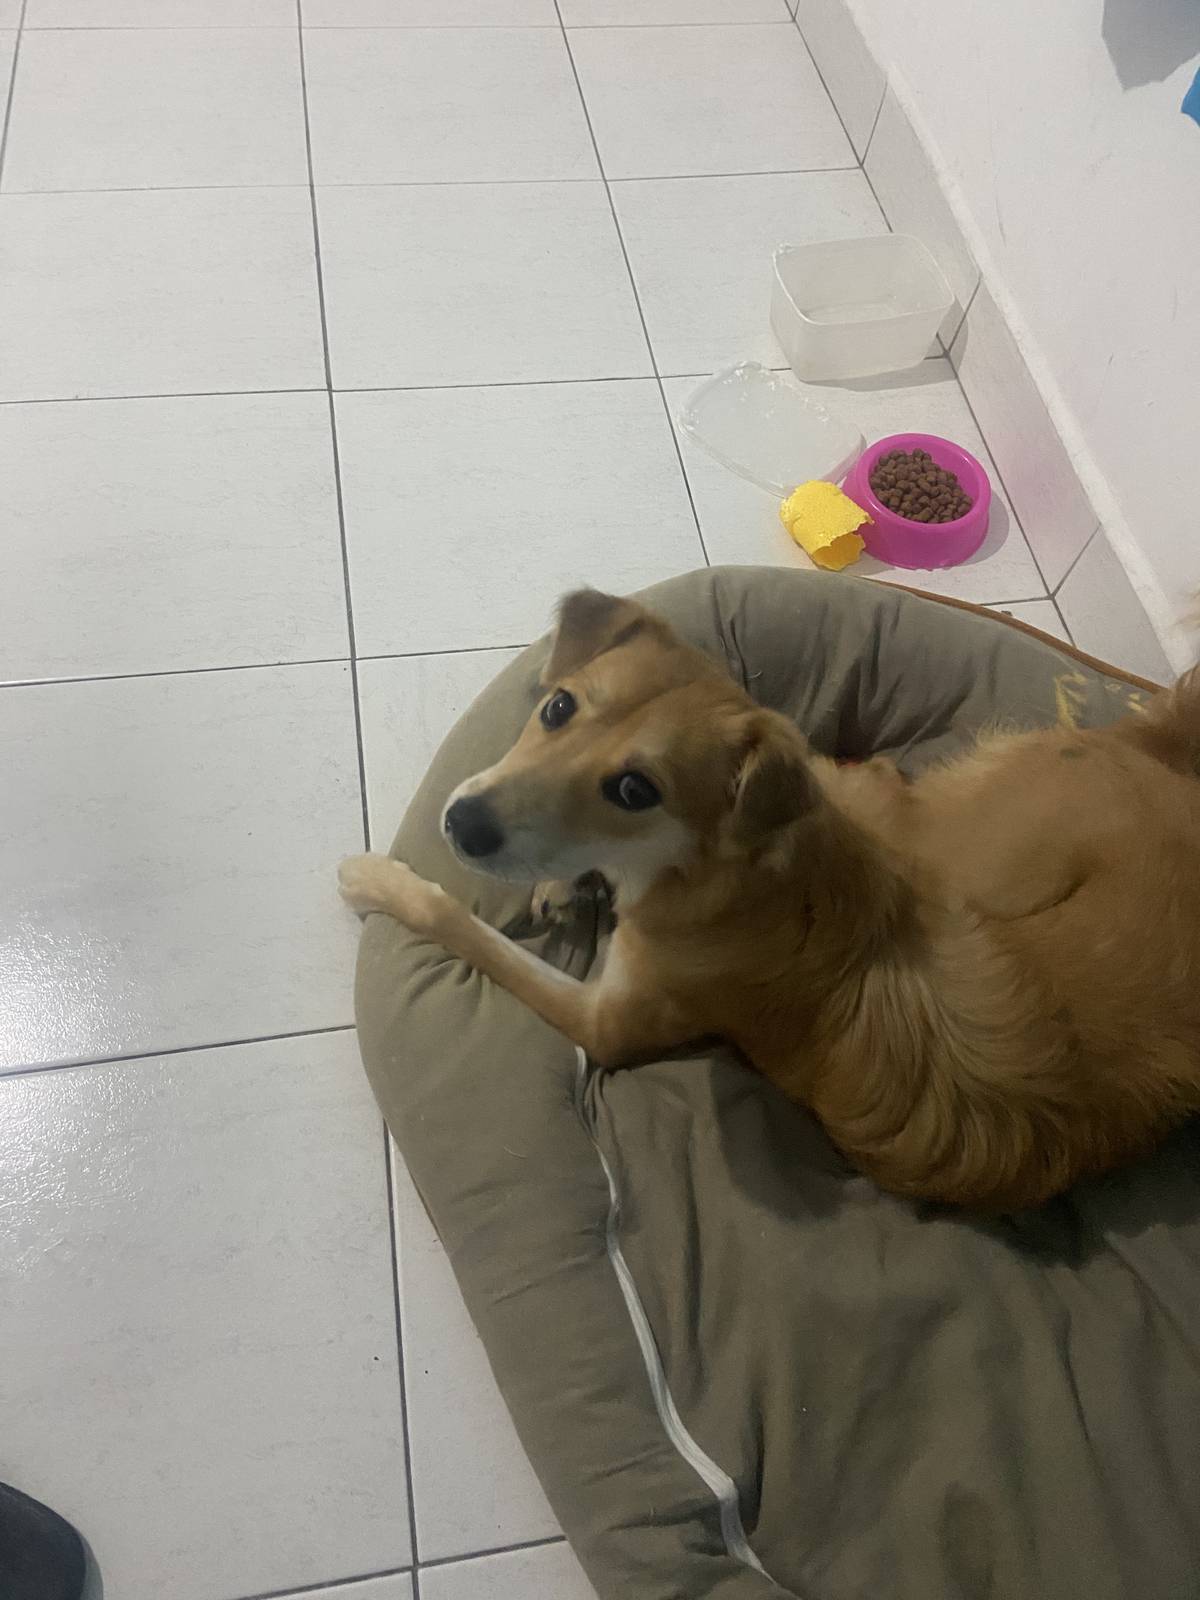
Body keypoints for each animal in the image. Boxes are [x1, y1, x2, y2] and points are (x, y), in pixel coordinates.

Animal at [340, 589, 1200, 1210]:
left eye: (635, 789)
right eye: (556, 709)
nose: (464, 822)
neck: (725, 874)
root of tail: (1161, 758)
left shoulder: (607, 1024)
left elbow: (458, 921)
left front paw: (380, 881)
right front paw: (560, 877)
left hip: (946, 824)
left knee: (872, 775)